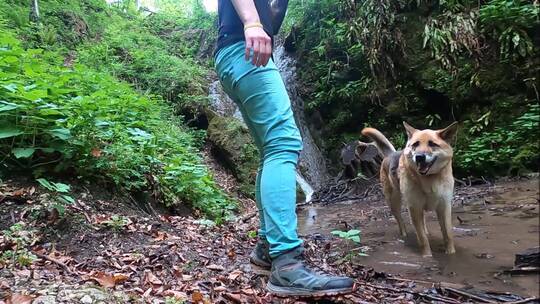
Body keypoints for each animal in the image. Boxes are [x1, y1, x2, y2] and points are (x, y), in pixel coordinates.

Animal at [360, 121, 458, 256]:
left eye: (432, 144)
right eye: (415, 144)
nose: (419, 157)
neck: (429, 179)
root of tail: (391, 154)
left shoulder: (444, 207)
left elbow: (448, 235)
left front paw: (451, 254)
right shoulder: (414, 208)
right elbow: (422, 239)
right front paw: (427, 256)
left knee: (423, 222)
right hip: (394, 202)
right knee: (400, 220)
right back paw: (404, 234)